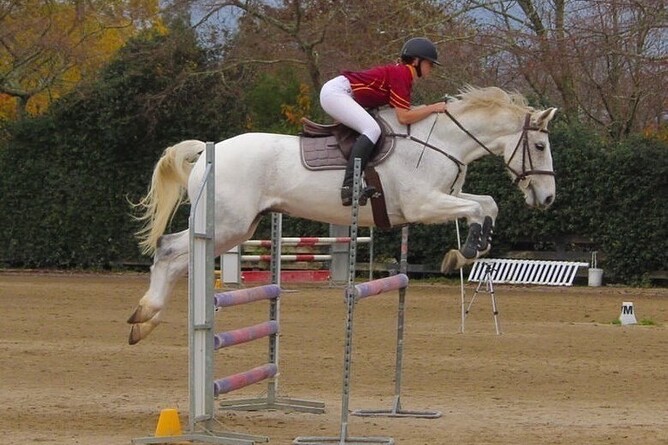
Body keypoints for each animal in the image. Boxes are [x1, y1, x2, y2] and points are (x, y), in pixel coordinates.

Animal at [127, 86, 557, 344]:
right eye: (539, 146)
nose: (549, 198)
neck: (441, 141)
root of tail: (208, 149)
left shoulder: (442, 198)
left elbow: (487, 204)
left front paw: (470, 248)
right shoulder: (423, 204)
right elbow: (477, 207)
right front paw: (462, 252)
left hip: (236, 228)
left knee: (178, 257)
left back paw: (146, 320)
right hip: (226, 226)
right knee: (169, 250)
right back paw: (145, 314)